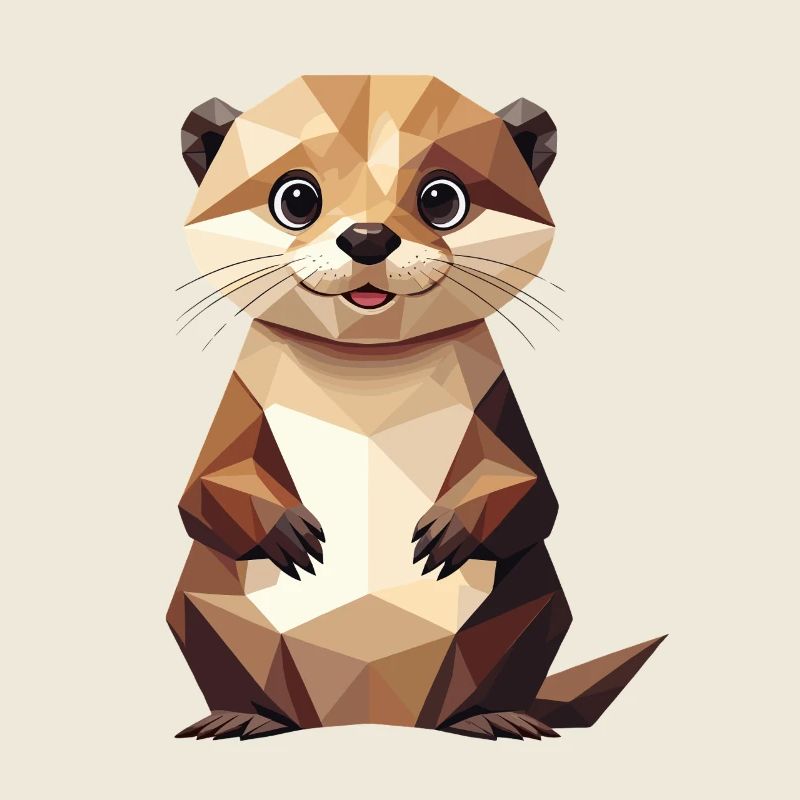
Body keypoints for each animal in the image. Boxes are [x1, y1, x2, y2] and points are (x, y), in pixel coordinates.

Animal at [168, 75, 664, 742]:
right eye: (295, 197)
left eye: (441, 197)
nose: (368, 237)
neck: (369, 379)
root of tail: (369, 709)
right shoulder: (242, 404)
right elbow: (204, 489)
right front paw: (290, 533)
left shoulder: (494, 404)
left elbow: (531, 490)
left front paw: (447, 531)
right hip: (207, 605)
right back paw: (243, 716)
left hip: (526, 604)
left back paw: (494, 717)